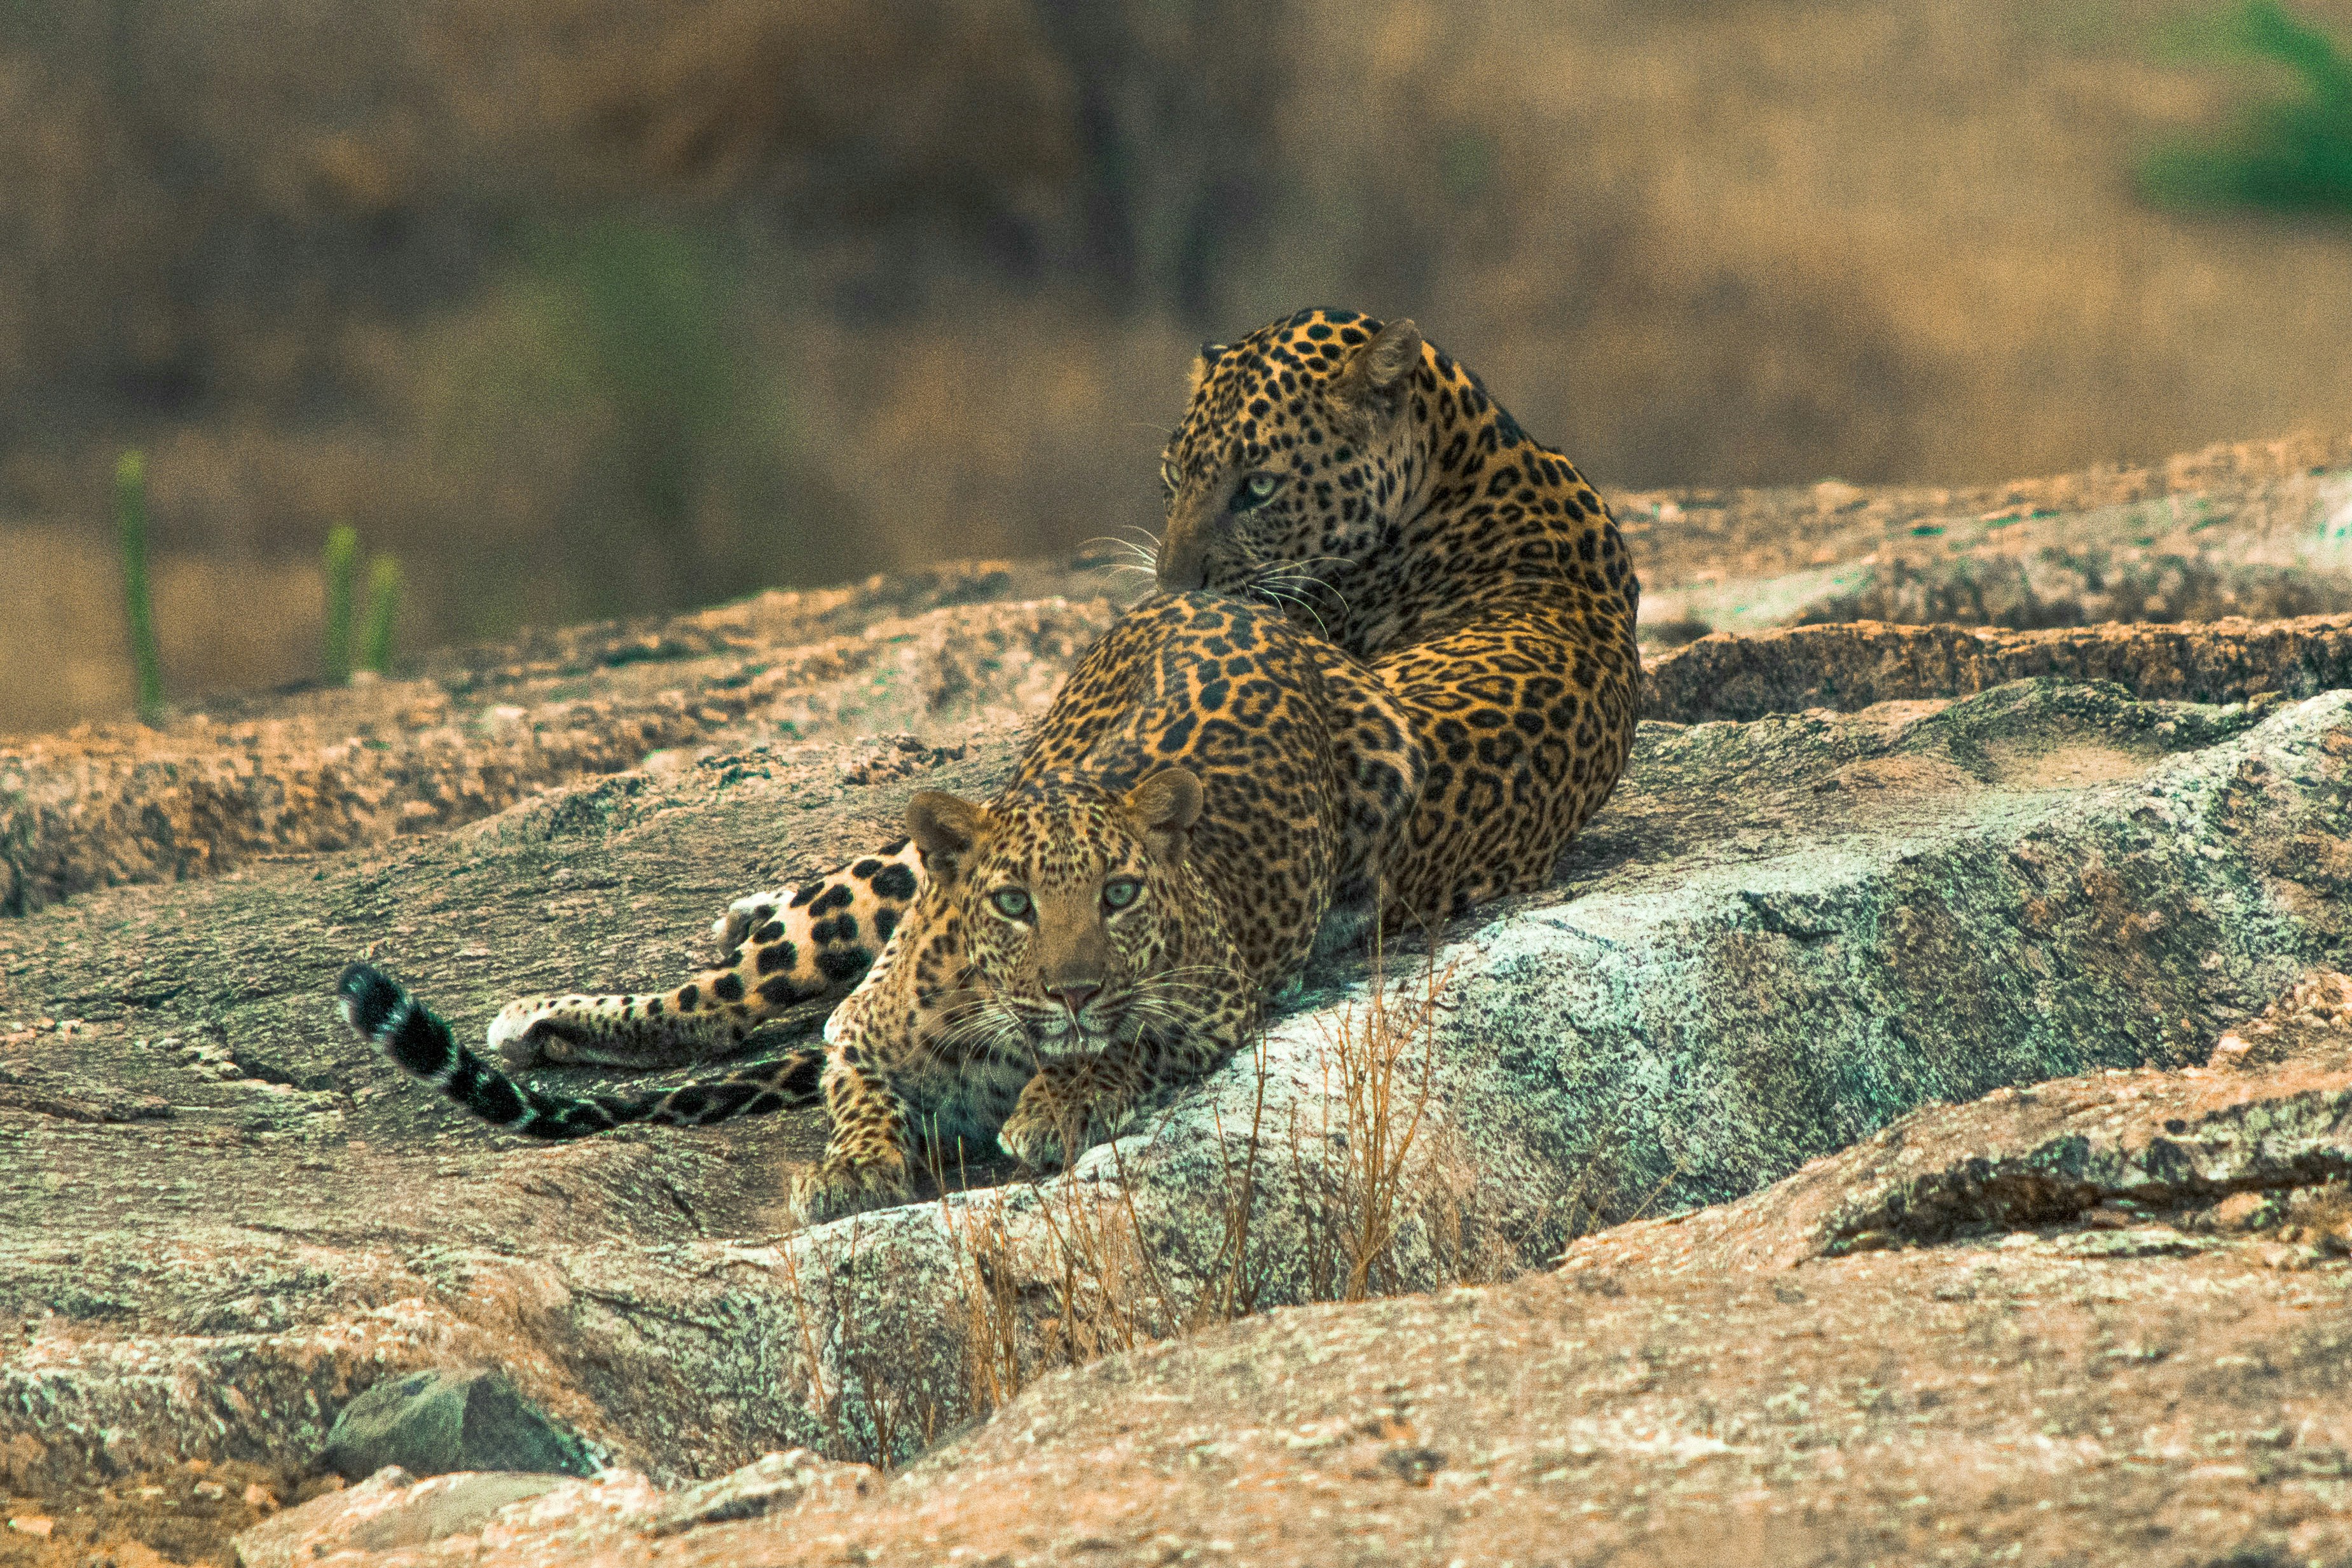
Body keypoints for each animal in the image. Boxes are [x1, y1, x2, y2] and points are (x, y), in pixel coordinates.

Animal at [336, 591, 1425, 1222]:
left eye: (1119, 896)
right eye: (1013, 904)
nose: (1072, 989)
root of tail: (1220, 599)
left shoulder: (1213, 999)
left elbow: (1123, 1041)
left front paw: (1054, 1100)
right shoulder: (858, 1031)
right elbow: (855, 1090)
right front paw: (855, 1165)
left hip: (1391, 754)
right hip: (884, 880)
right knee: (722, 994)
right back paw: (572, 1004)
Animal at [478, 308, 1639, 1073]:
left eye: (1258, 486)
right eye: (1172, 478)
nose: (1169, 585)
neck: (1471, 454)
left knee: (732, 998)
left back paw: (543, 1019)